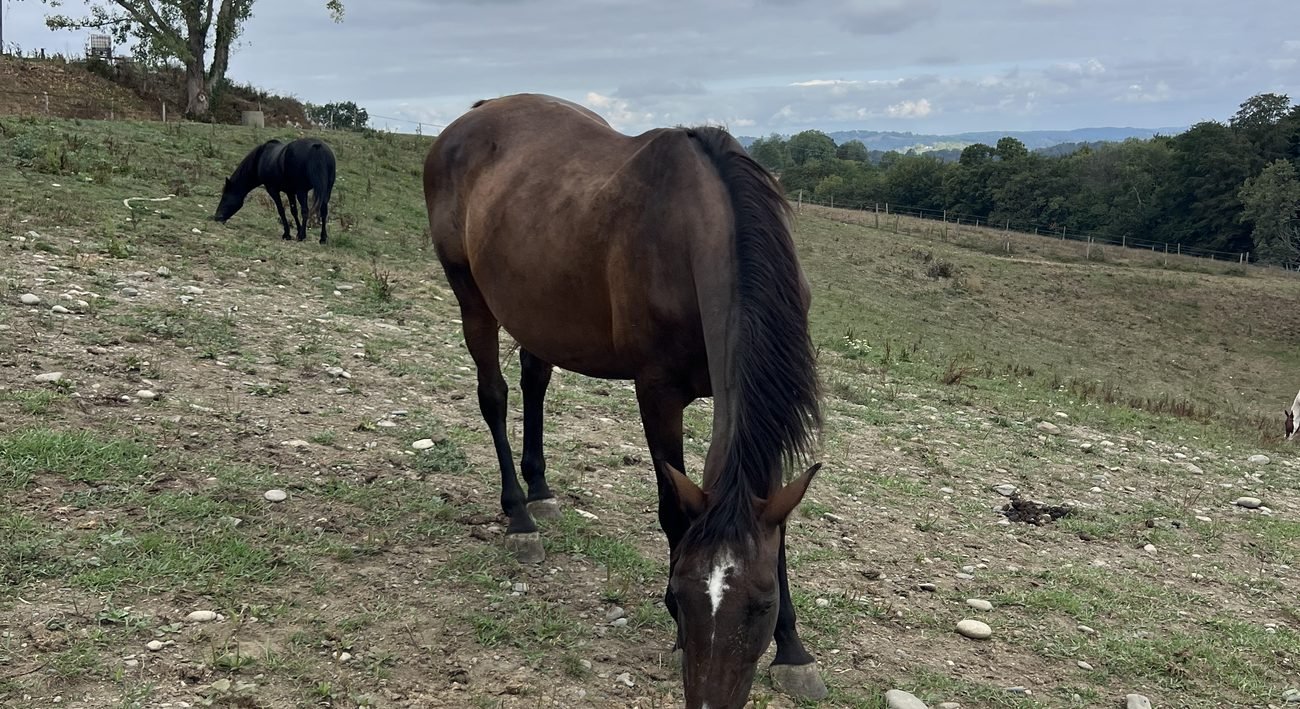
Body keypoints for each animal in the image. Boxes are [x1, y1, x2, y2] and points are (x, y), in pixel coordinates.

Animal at [423, 93, 827, 708]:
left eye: (760, 607)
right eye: (683, 596)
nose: (709, 703)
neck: (696, 226)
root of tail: (472, 115)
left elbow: (775, 533)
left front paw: (794, 650)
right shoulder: (657, 391)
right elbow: (671, 509)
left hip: (540, 308)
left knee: (535, 379)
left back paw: (540, 491)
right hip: (471, 294)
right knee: (493, 396)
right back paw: (520, 516)